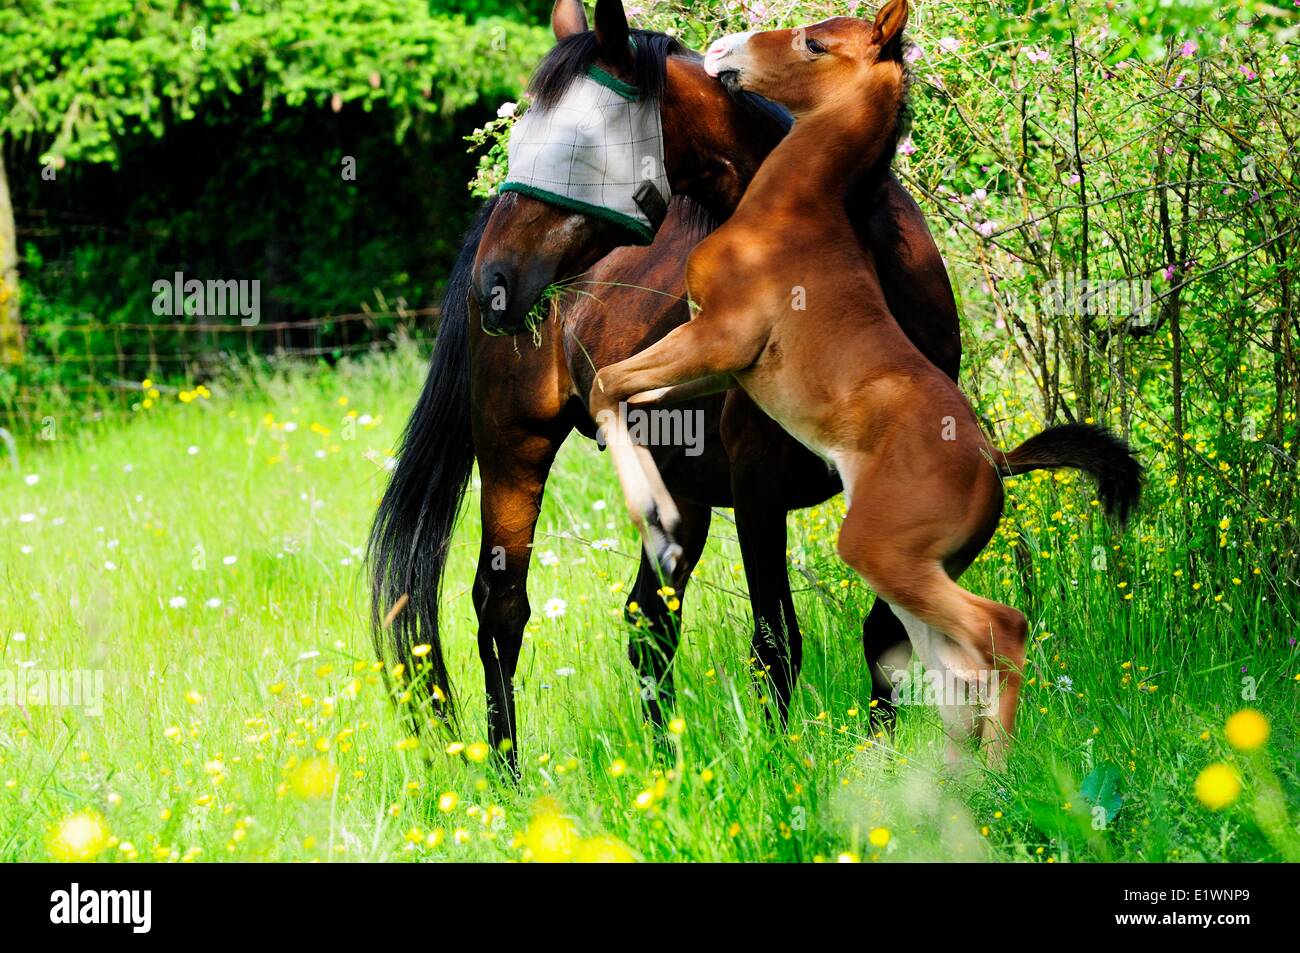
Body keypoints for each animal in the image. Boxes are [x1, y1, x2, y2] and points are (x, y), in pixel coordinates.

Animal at [371, 0, 961, 764]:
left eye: (579, 146)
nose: (495, 284)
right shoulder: (758, 488)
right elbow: (776, 642)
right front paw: (779, 772)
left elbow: (885, 635)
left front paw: (877, 765)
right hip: (513, 448)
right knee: (502, 609)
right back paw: (507, 775)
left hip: (677, 487)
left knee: (648, 622)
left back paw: (666, 766)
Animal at [587, 1, 1138, 759]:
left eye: (815, 43)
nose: (722, 51)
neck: (792, 214)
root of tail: (995, 460)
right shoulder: (718, 365)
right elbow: (623, 392)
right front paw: (656, 505)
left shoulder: (719, 337)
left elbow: (606, 383)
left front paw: (654, 511)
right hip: (919, 573)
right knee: (953, 665)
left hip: (881, 552)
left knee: (1000, 633)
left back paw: (999, 770)